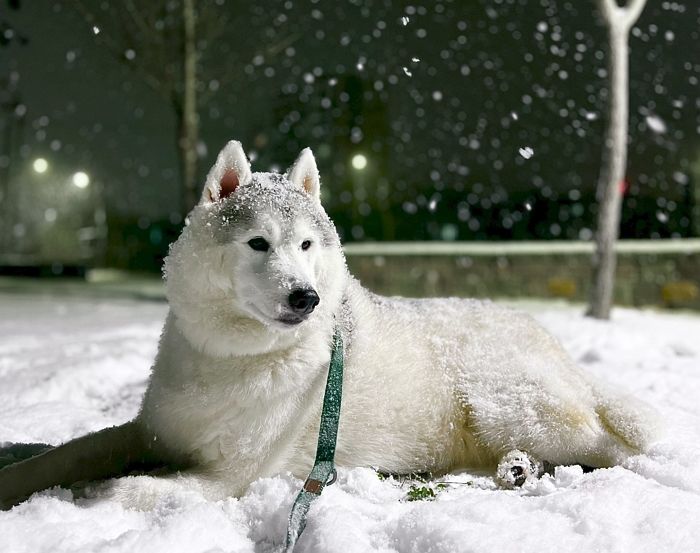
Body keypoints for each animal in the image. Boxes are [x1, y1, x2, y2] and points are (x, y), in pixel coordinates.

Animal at [0, 140, 660, 506]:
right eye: (259, 243)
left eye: (307, 245)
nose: (306, 298)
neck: (234, 357)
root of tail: (552, 341)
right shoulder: (148, 432)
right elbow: (65, 456)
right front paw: (18, 480)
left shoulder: (228, 475)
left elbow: (131, 488)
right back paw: (517, 468)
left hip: (508, 403)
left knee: (605, 444)